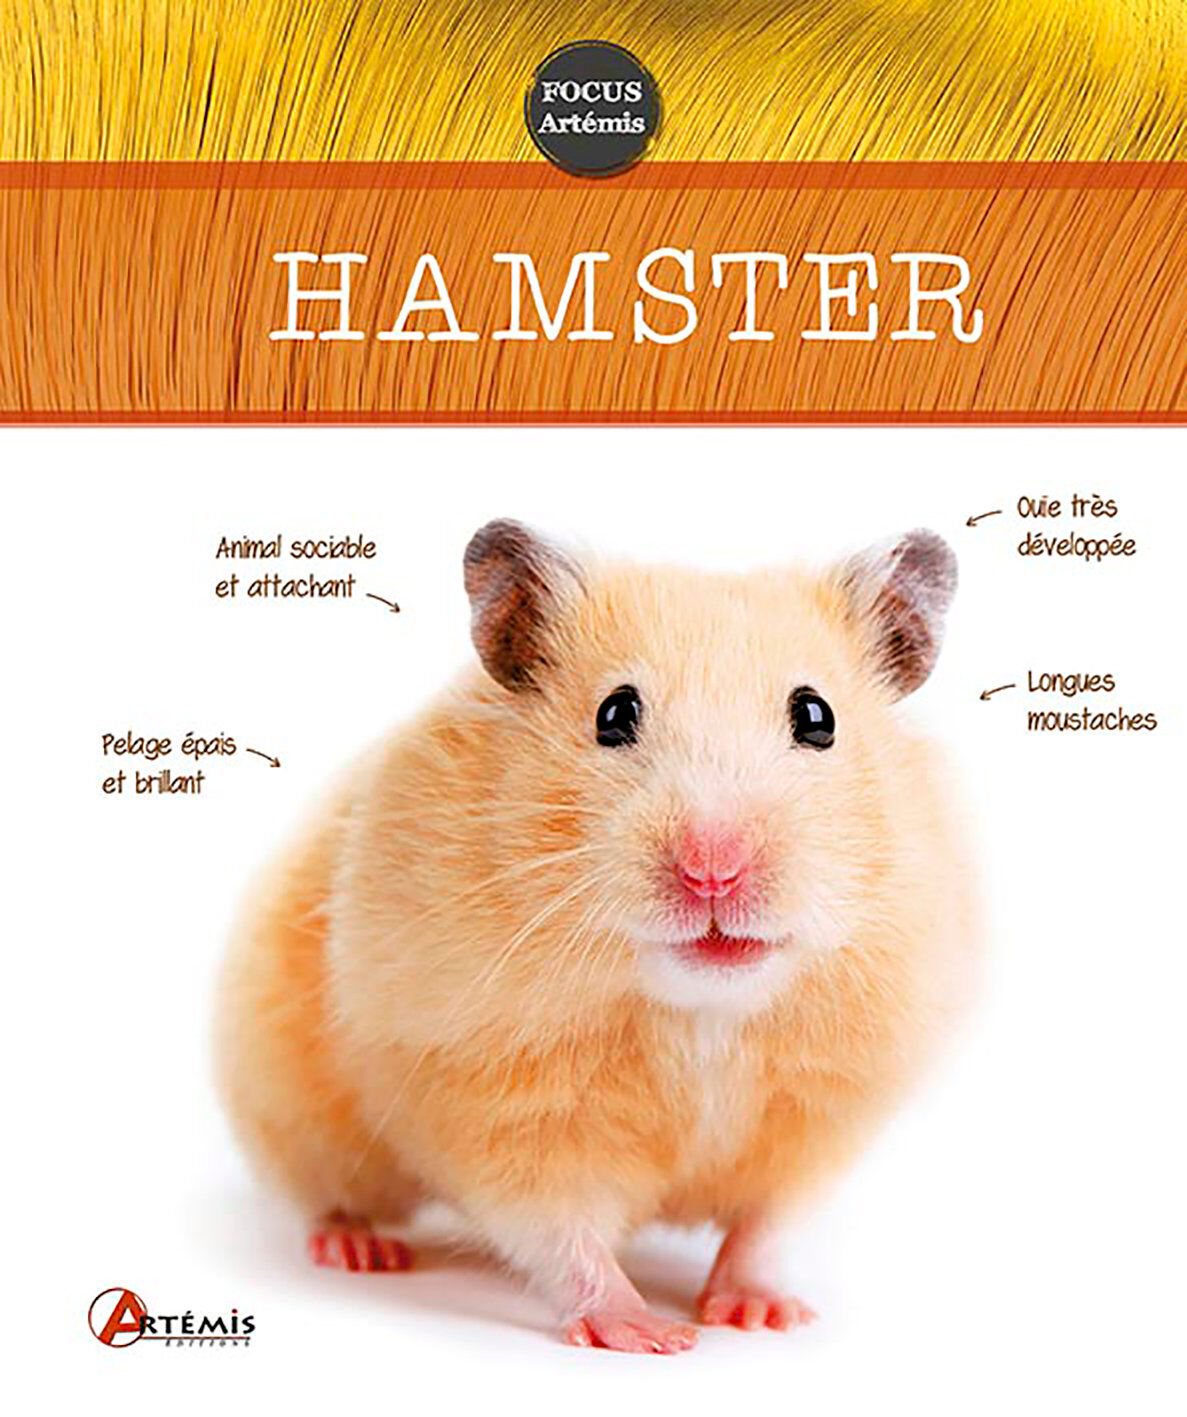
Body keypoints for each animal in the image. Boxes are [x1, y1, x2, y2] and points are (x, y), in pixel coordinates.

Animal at [216, 519, 977, 1354]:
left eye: (817, 718)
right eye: (613, 714)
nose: (713, 870)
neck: (700, 1012)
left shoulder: (818, 1121)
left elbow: (766, 1225)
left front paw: (761, 1314)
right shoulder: (495, 1107)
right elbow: (562, 1231)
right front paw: (652, 1332)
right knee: (326, 1195)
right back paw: (359, 1248)